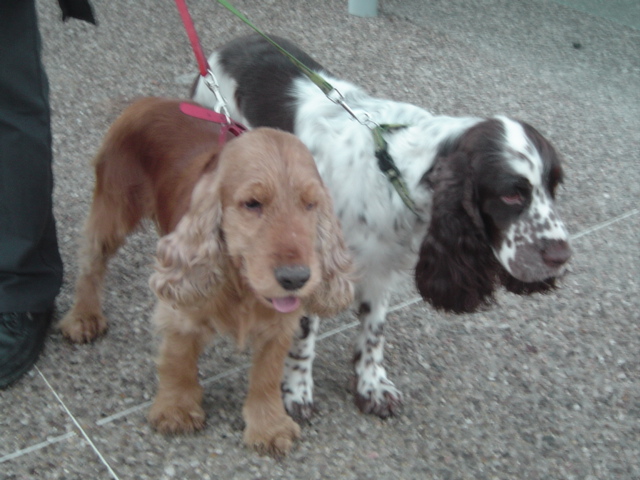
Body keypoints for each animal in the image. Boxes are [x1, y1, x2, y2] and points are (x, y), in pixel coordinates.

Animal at [190, 33, 568, 418]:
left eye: (554, 186)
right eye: (511, 195)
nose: (561, 256)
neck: (394, 170)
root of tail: (230, 45)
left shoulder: (380, 268)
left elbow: (373, 333)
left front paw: (371, 387)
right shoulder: (312, 266)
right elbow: (304, 339)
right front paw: (295, 392)